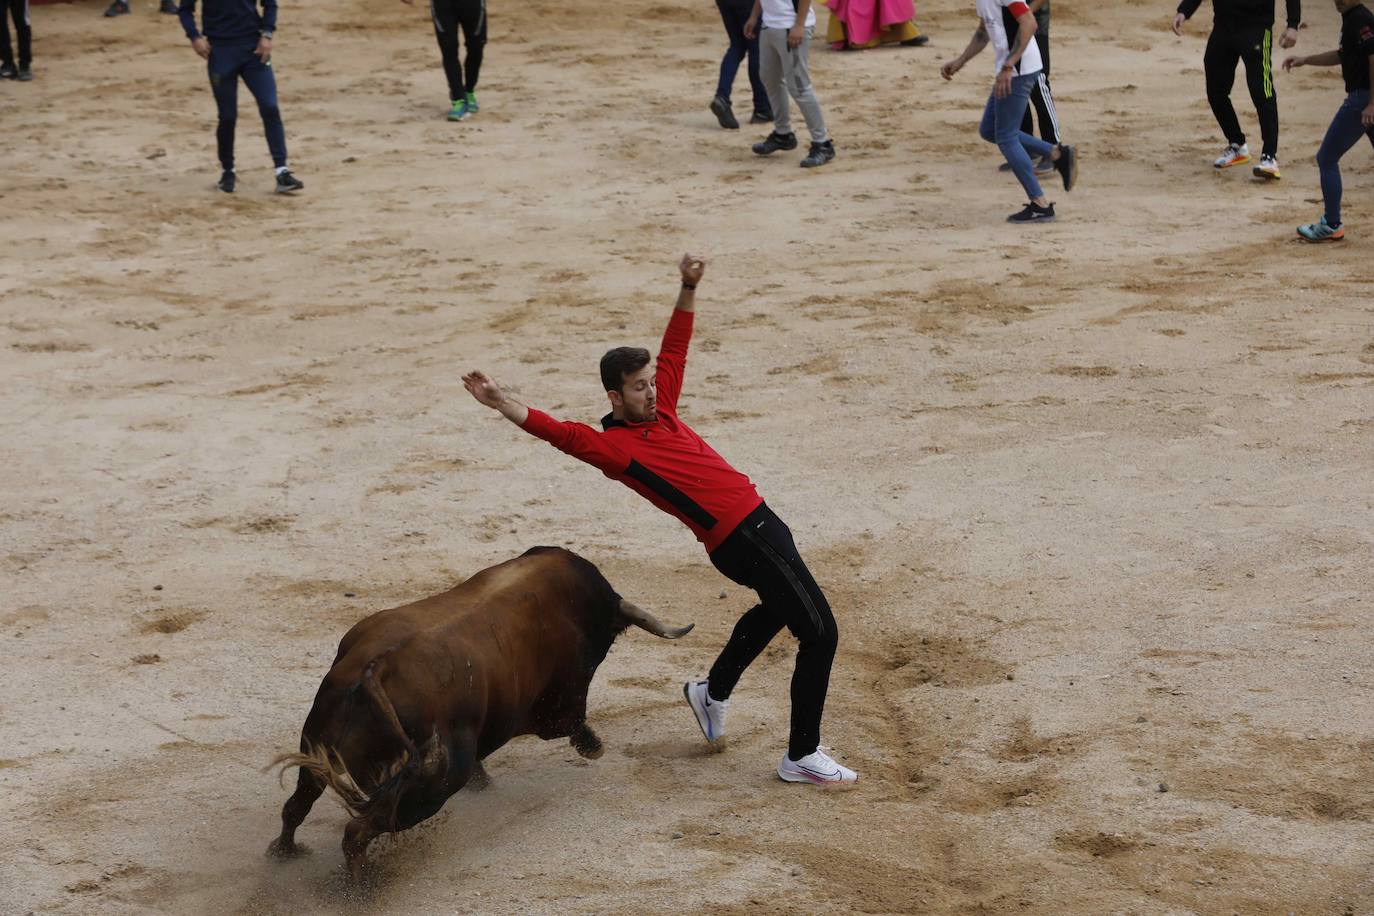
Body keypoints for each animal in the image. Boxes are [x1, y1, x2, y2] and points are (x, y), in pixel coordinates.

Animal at [266, 549, 692, 878]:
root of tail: (377, 668)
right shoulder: (560, 703)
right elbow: (572, 722)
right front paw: (592, 745)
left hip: (317, 743)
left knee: (298, 804)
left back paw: (283, 852)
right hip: (433, 786)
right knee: (357, 832)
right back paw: (359, 887)